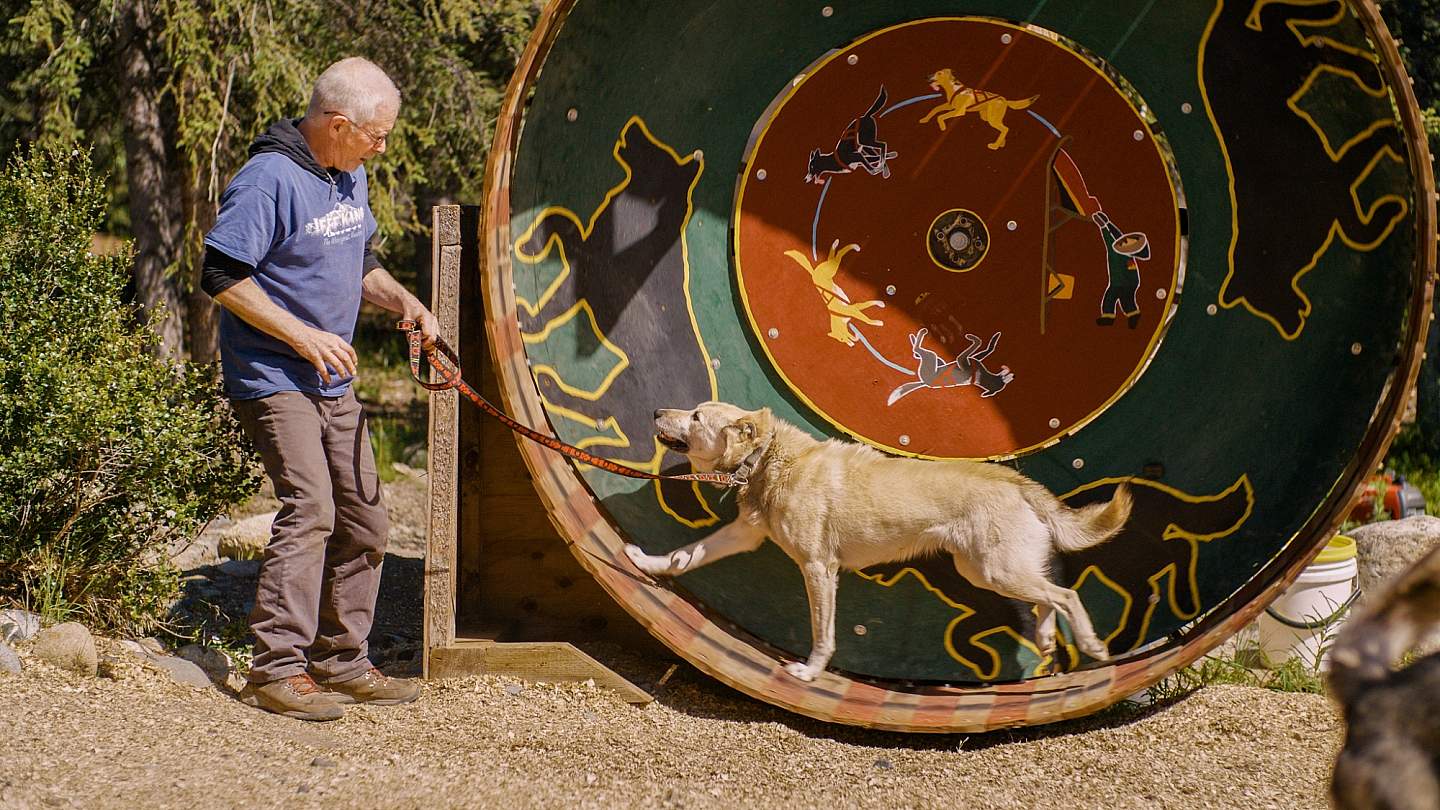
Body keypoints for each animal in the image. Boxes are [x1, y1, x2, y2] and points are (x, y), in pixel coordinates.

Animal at [624, 400, 1128, 677]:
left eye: (695, 416)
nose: (655, 411)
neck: (768, 459)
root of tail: (1014, 480)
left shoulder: (818, 568)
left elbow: (822, 632)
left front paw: (810, 672)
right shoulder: (742, 535)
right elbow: (684, 556)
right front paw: (644, 562)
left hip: (994, 570)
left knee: (1065, 595)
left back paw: (1090, 645)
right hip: (986, 570)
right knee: (1047, 597)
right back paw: (1046, 640)